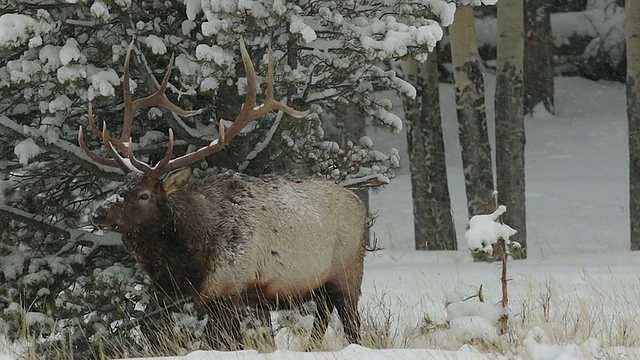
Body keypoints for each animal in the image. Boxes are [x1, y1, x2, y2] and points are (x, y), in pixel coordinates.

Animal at [79, 40, 368, 350]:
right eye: (119, 188)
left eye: (144, 195)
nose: (99, 214)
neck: (191, 261)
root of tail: (361, 205)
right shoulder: (206, 299)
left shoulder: (229, 290)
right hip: (320, 285)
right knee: (321, 321)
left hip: (347, 272)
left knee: (352, 325)